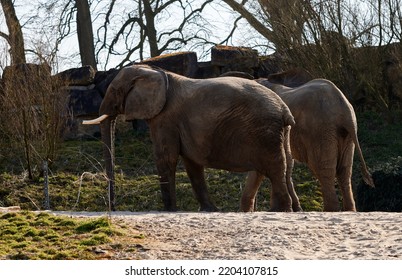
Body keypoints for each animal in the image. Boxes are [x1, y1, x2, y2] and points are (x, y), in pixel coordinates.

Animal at [84, 64, 298, 212]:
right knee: (275, 169)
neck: (156, 71)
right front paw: (209, 210)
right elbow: (191, 163)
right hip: (274, 135)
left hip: (265, 132)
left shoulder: (165, 118)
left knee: (275, 169)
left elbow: (166, 158)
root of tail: (285, 110)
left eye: (115, 91)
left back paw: (281, 211)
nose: (112, 207)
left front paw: (170, 211)